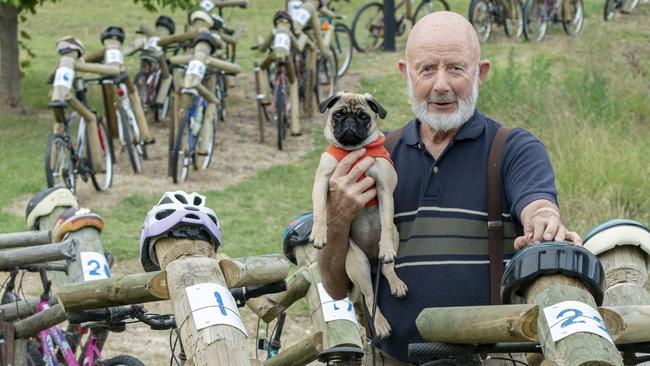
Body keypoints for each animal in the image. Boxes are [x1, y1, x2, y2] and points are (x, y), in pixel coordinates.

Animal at [308, 92, 404, 340]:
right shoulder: (322, 181)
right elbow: (320, 210)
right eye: (338, 114)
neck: (352, 150)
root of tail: (370, 257)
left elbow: (386, 222)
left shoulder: (384, 189)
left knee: (387, 269)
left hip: (393, 240)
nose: (350, 121)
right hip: (358, 263)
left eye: (363, 116)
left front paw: (385, 246)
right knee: (370, 297)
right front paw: (319, 234)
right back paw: (381, 325)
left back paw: (395, 282)